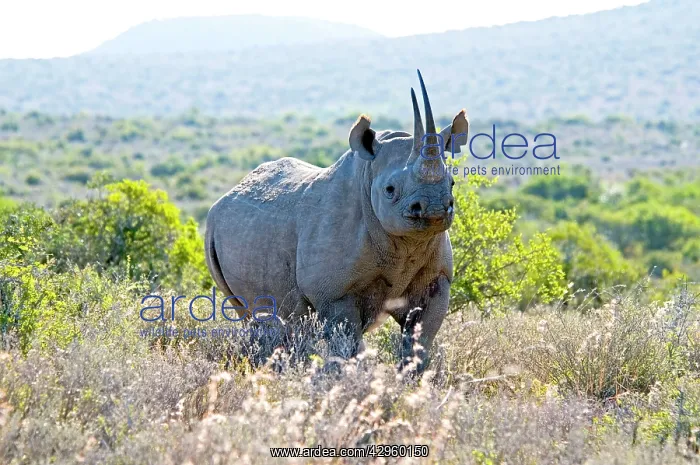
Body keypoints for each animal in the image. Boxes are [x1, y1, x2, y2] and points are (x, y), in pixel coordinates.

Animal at [205, 70, 469, 373]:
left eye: (452, 183)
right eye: (390, 190)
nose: (434, 208)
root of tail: (223, 198)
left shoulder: (438, 280)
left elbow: (420, 341)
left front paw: (411, 380)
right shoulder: (335, 291)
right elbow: (346, 342)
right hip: (216, 229)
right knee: (257, 318)